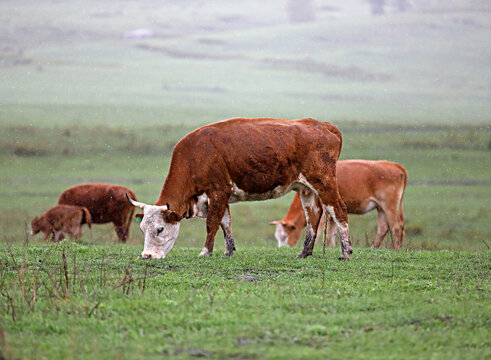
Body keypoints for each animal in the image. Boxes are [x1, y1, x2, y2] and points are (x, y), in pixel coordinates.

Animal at [125, 119, 352, 262]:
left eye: (160, 229)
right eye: (142, 229)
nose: (147, 256)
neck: (196, 156)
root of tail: (322, 125)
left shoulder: (218, 192)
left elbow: (212, 224)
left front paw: (205, 252)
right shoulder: (221, 198)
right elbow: (226, 224)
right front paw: (229, 251)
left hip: (324, 183)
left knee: (339, 210)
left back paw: (346, 252)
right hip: (306, 189)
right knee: (313, 217)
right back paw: (304, 253)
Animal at [270, 161, 410, 250]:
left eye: (284, 236)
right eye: (277, 237)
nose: (282, 248)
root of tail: (395, 166)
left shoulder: (322, 210)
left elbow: (319, 229)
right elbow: (332, 231)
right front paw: (332, 247)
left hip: (389, 206)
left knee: (396, 227)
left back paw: (395, 249)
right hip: (381, 208)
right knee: (383, 228)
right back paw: (374, 248)